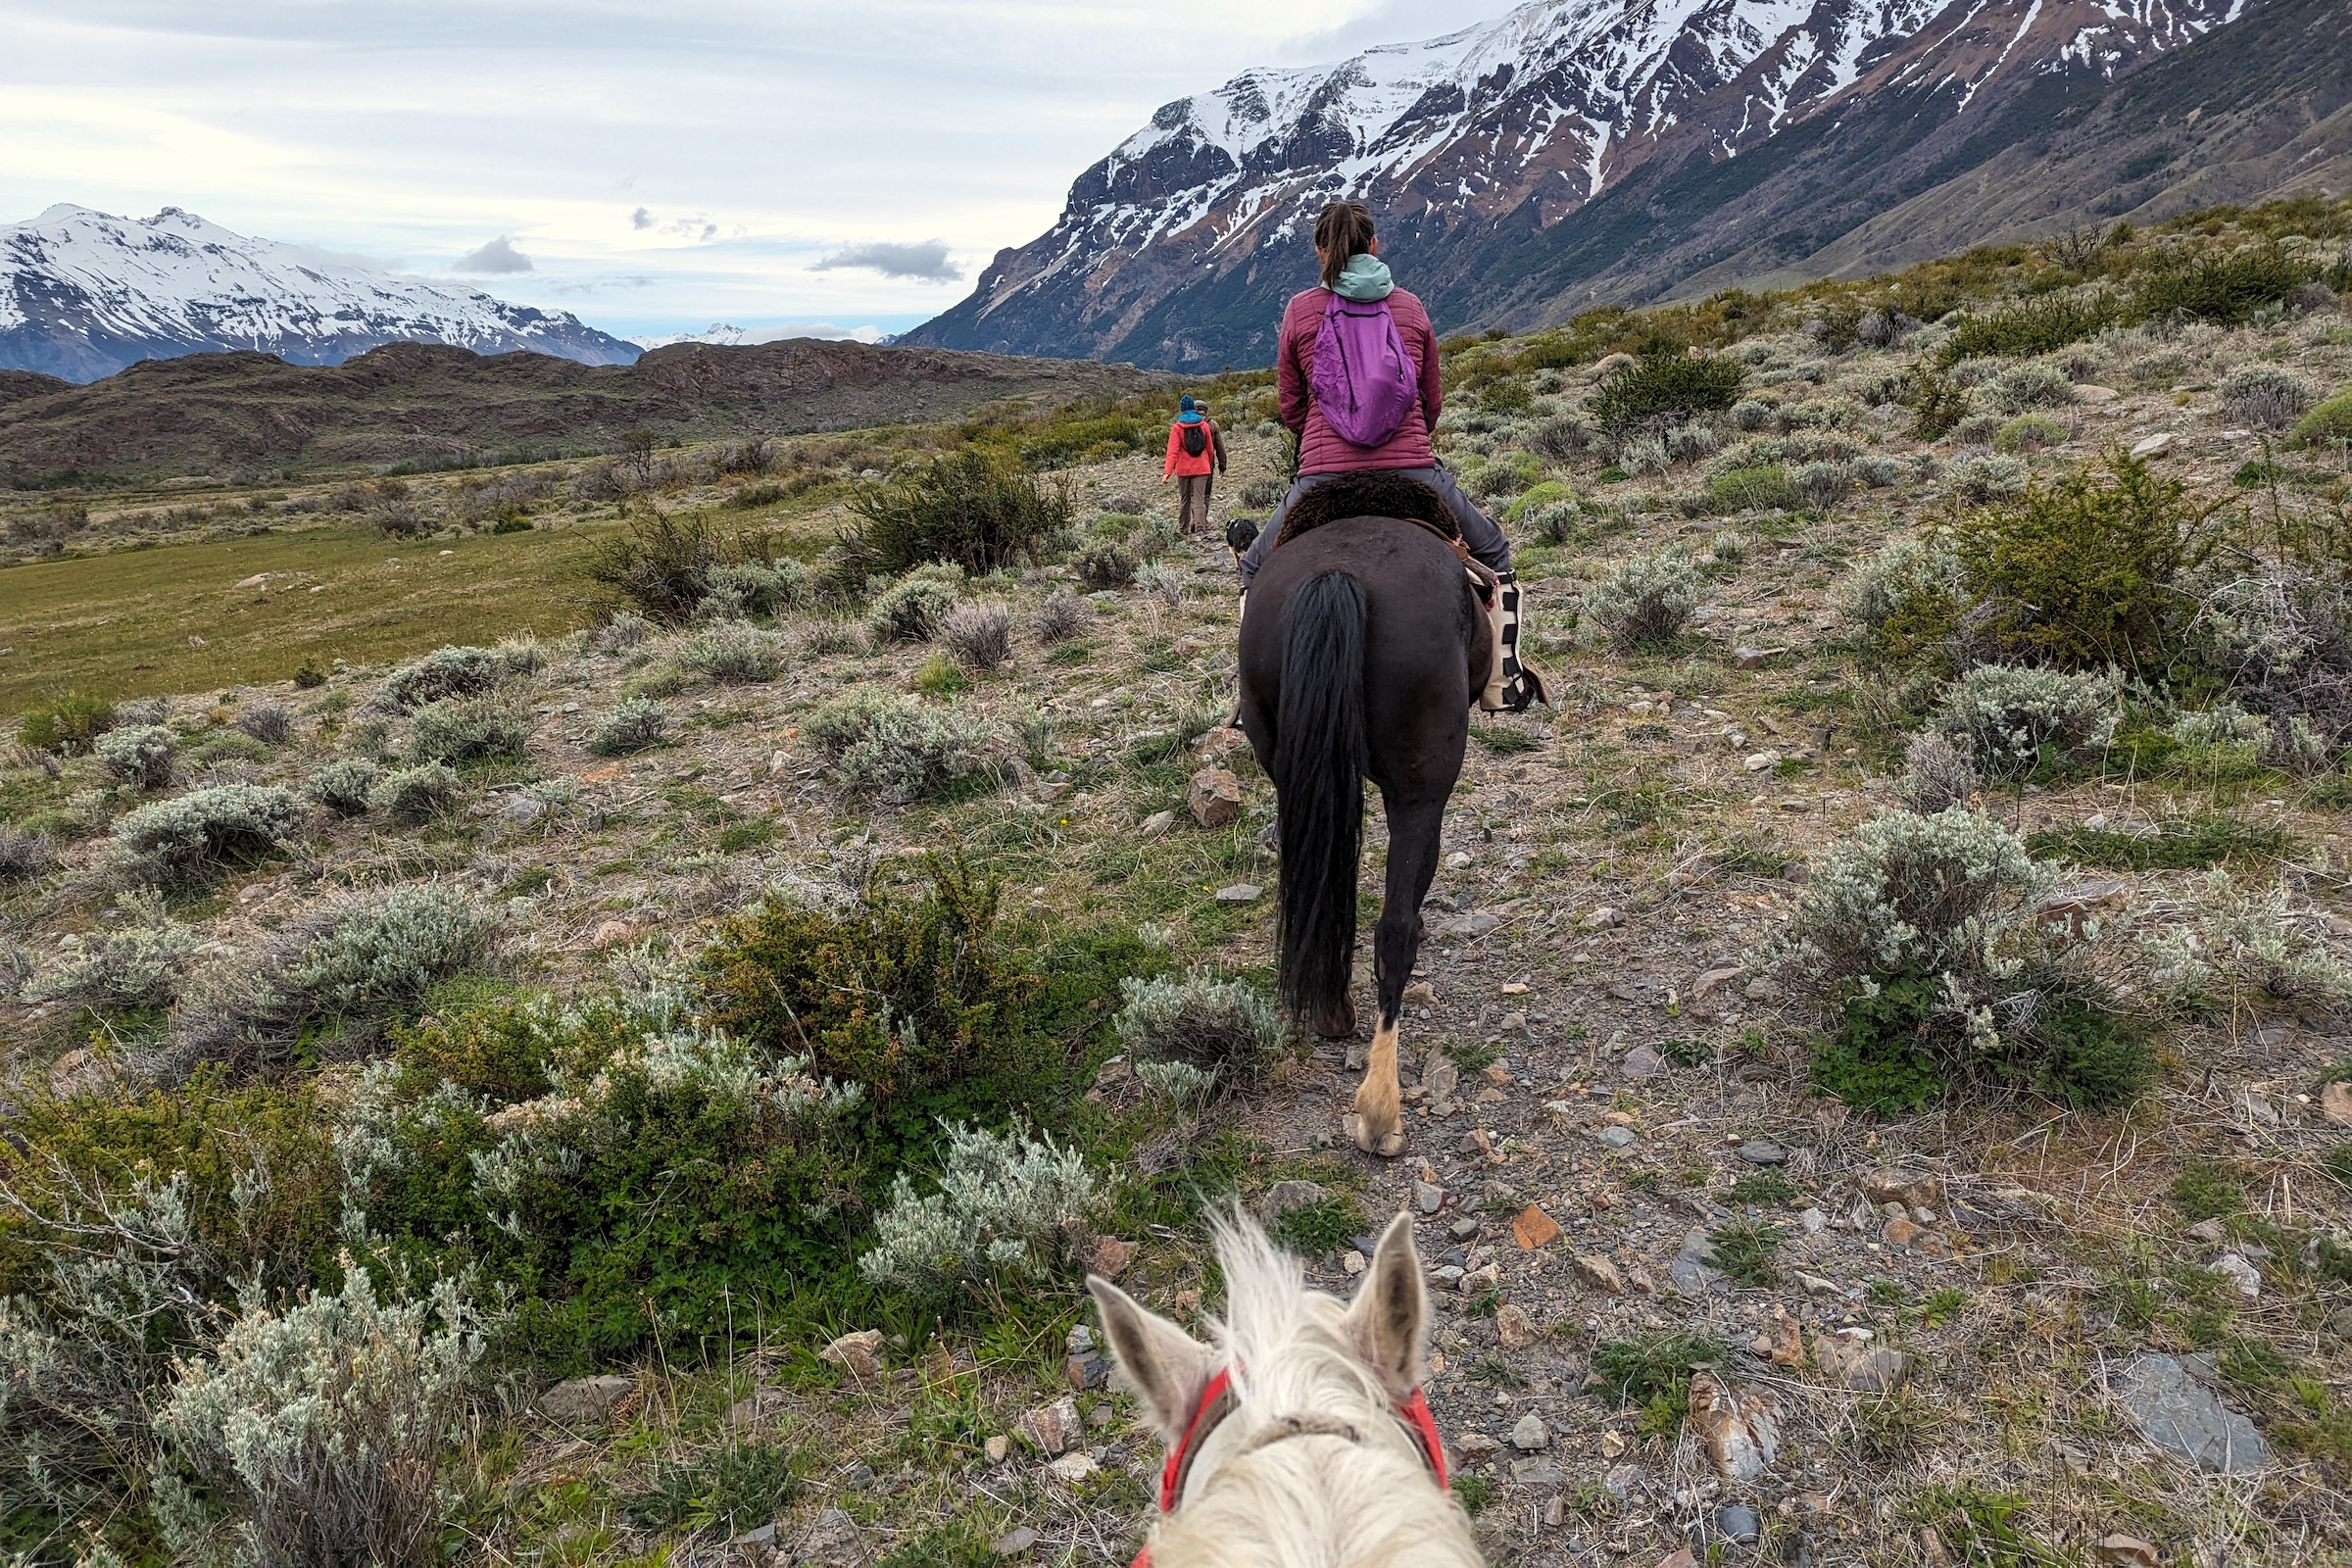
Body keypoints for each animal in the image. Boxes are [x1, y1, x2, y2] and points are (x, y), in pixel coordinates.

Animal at [1235, 473, 1489, 1158]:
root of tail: (1339, 572)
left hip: (1289, 765)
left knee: (1322, 889)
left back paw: (1332, 1013)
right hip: (1422, 786)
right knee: (1392, 928)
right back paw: (1381, 1108)